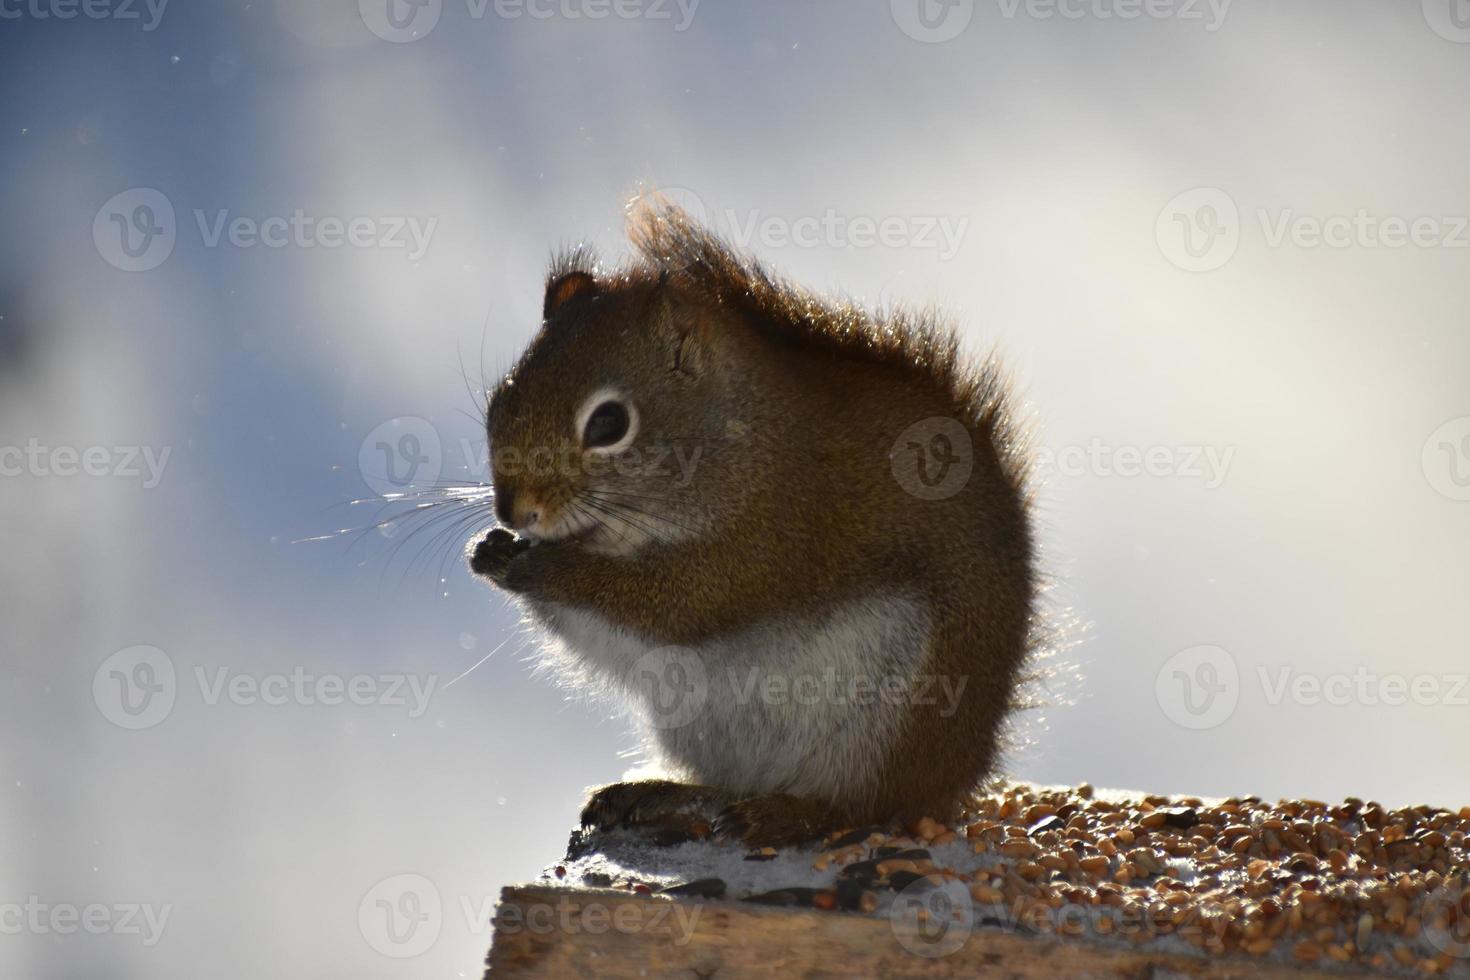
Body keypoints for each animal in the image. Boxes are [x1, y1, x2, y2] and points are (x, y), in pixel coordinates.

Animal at [467, 199, 1034, 852]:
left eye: (609, 423)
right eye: (501, 398)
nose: (515, 512)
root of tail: (956, 777)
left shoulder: (769, 540)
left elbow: (669, 603)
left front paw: (542, 567)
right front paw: (491, 551)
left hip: (892, 721)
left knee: (865, 807)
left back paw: (788, 816)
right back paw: (661, 794)